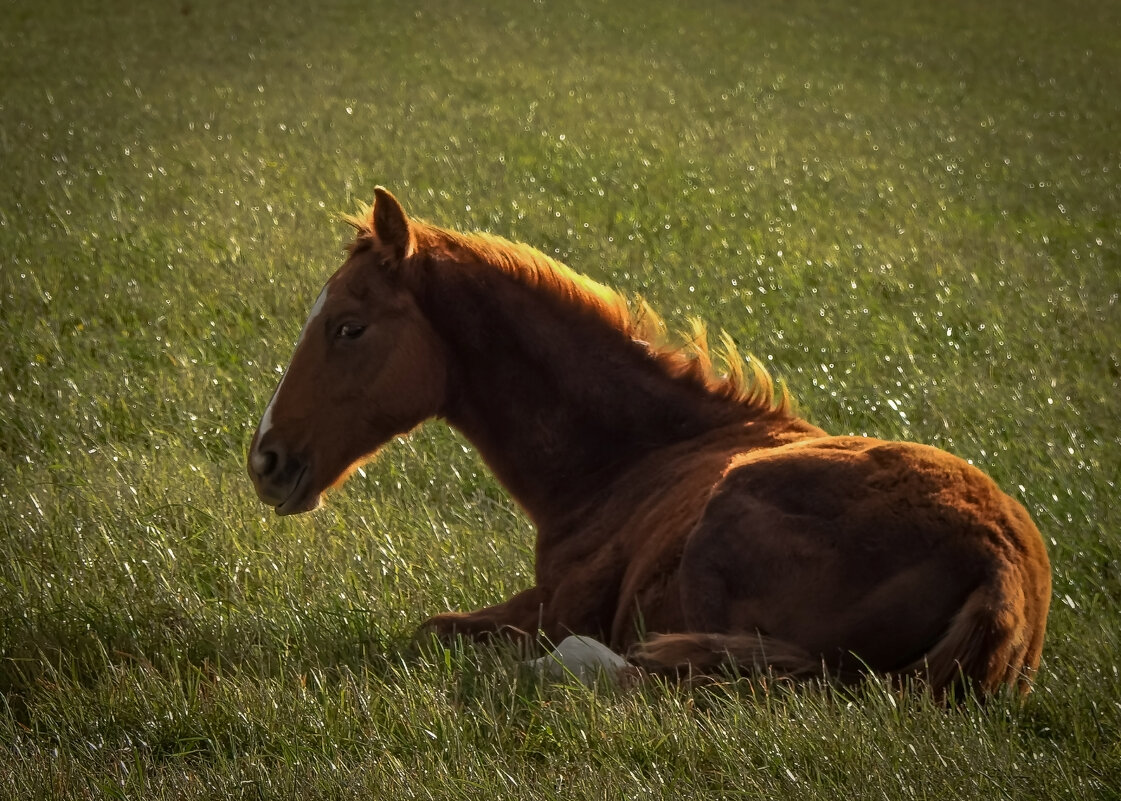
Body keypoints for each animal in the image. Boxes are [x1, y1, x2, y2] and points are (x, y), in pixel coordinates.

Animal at [245, 185, 1049, 694]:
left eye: (348, 326)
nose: (265, 459)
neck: (634, 457)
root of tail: (997, 566)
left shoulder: (561, 606)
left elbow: (436, 631)